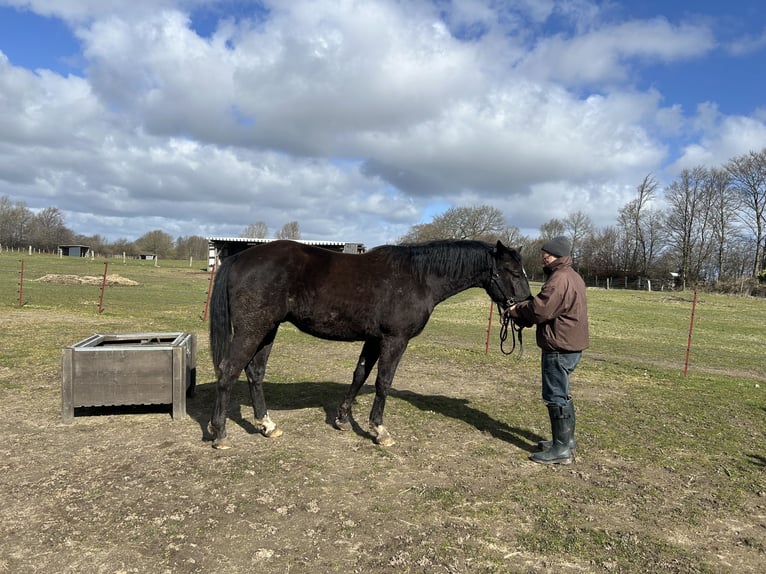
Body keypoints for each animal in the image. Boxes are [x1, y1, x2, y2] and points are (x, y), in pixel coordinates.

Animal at [208, 239, 531, 449]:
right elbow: (383, 382)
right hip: (253, 330)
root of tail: (239, 258)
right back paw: (220, 432)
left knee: (255, 372)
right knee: (228, 370)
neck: (419, 277)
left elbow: (360, 375)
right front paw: (379, 430)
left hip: (268, 330)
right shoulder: (394, 340)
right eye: (514, 272)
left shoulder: (375, 339)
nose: (525, 309)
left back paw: (267, 425)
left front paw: (342, 418)